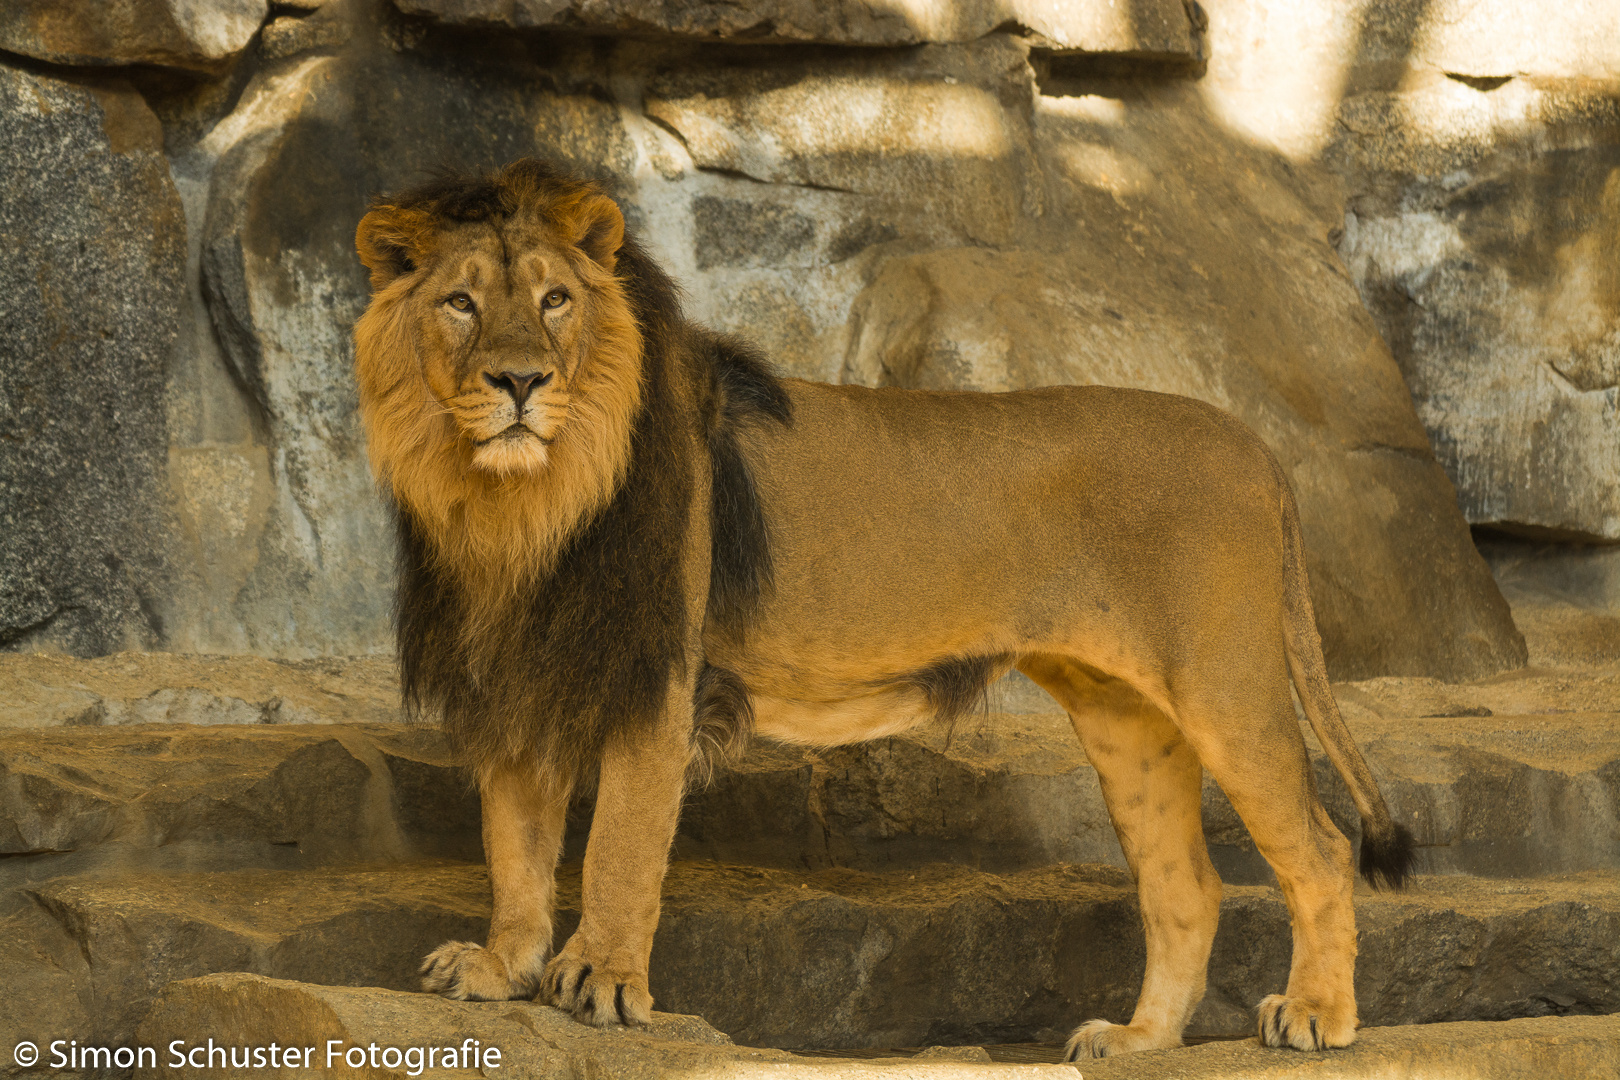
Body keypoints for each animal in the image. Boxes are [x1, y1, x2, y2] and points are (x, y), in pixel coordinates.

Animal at [351, 160, 1406, 1062]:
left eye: (555, 300)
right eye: (460, 302)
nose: (520, 382)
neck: (515, 509)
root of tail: (1255, 447)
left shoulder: (661, 675)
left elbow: (620, 842)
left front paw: (601, 983)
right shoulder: (513, 670)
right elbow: (513, 841)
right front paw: (501, 967)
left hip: (1226, 685)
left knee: (1319, 848)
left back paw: (1316, 1016)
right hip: (1127, 718)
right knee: (1186, 883)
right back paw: (1139, 1040)